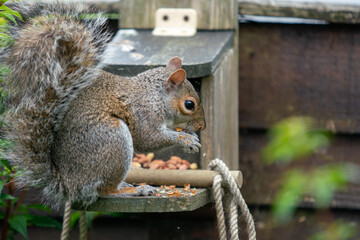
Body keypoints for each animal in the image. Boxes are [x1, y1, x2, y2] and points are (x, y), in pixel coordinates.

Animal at [1, 1, 205, 207]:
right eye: (189, 104)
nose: (202, 126)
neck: (155, 96)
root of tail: (68, 184)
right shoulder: (143, 114)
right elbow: (148, 139)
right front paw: (185, 139)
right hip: (113, 139)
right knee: (105, 190)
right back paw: (133, 190)